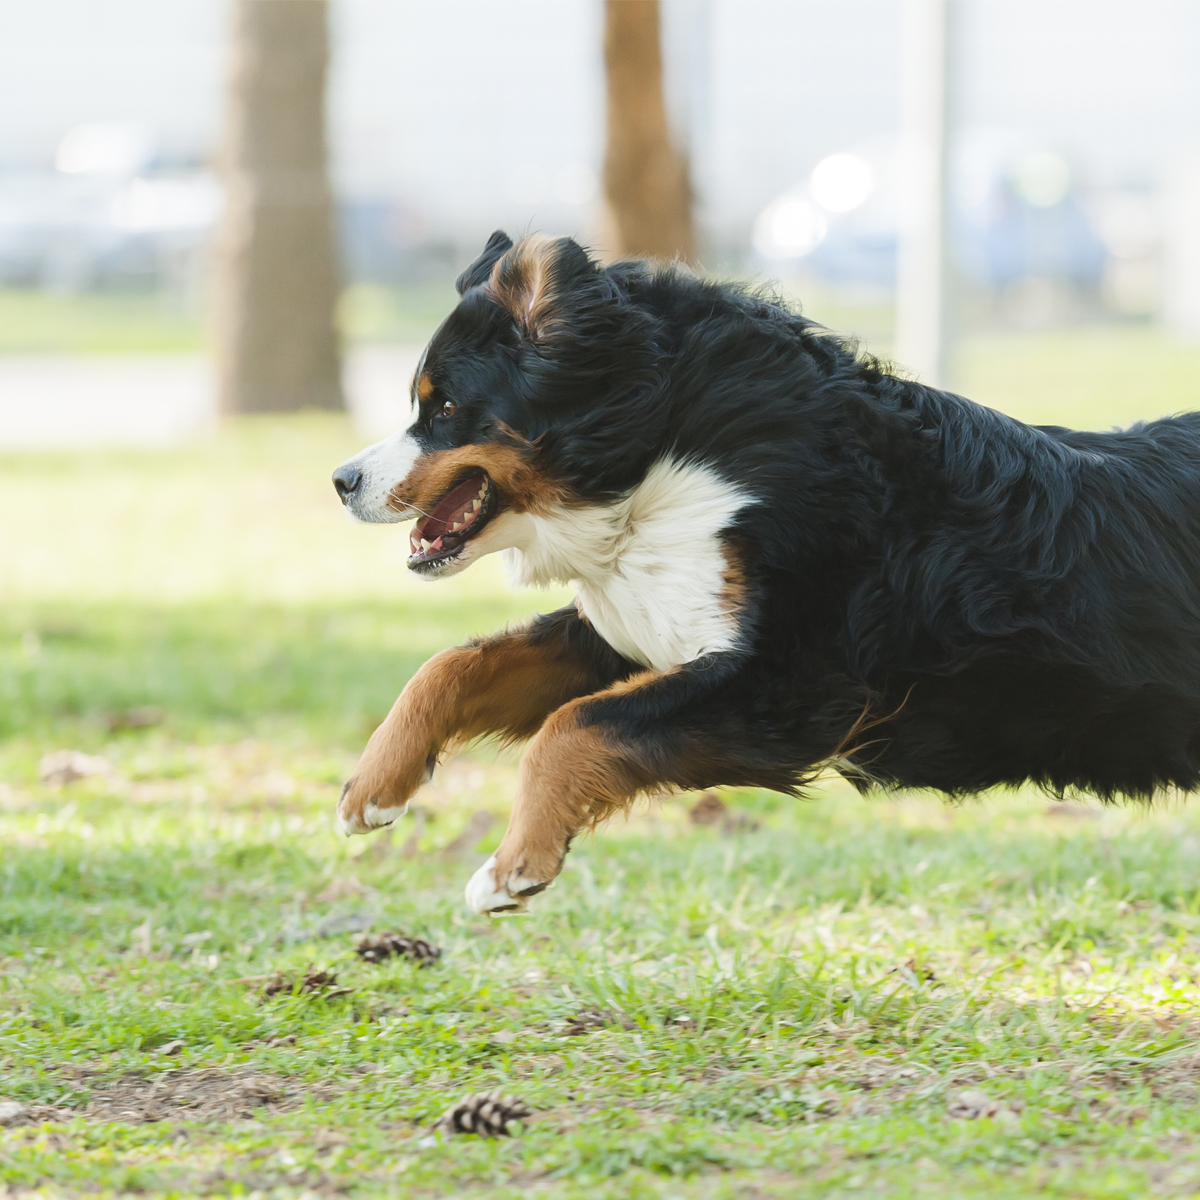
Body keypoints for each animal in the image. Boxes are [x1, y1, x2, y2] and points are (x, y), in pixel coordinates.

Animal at [333, 229, 1200, 912]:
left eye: (445, 410)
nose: (342, 480)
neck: (670, 452)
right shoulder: (637, 623)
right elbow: (454, 667)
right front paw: (371, 790)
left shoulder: (790, 682)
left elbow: (574, 726)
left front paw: (512, 869)